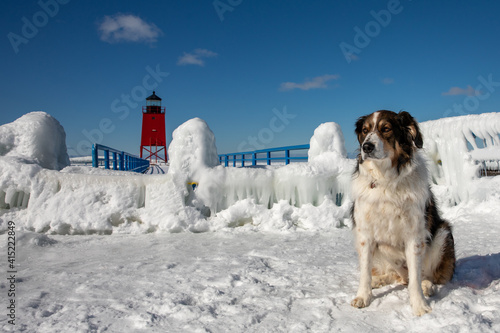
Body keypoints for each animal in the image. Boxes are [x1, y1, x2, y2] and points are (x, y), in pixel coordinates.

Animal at [350, 110, 456, 316]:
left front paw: (419, 305)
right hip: (382, 248)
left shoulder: (414, 235)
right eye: (365, 131)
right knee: (399, 276)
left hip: (442, 233)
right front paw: (363, 296)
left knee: (424, 275)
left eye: (386, 129)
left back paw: (427, 286)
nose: (366, 146)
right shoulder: (365, 234)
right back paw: (379, 280)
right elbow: (365, 272)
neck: (385, 178)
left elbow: (415, 277)